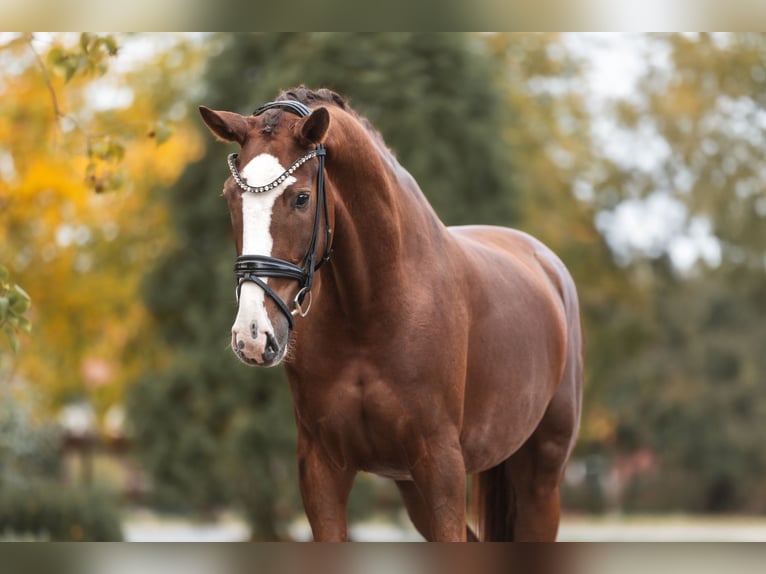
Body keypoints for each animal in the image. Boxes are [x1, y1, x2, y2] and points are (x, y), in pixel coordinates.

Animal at [199, 86, 583, 541]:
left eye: (301, 198)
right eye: (230, 196)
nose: (253, 336)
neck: (372, 311)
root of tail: (547, 265)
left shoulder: (442, 467)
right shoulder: (322, 469)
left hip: (542, 478)